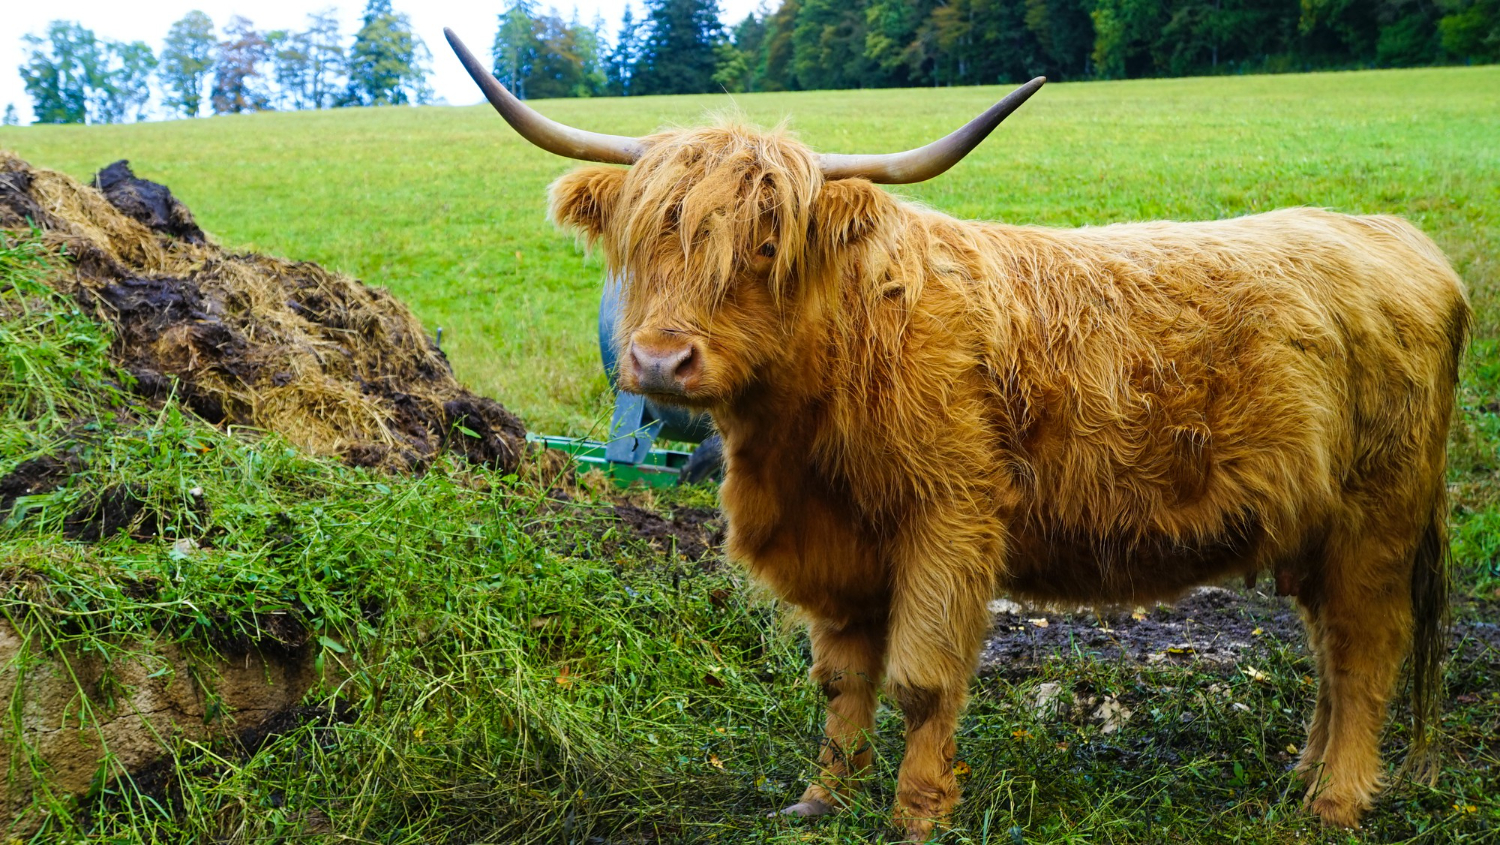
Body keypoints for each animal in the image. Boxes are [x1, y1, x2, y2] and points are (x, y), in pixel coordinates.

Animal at [445, 30, 1469, 840]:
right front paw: (822, 797)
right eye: (644, 241)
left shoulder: (949, 523)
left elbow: (920, 680)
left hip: (1375, 521)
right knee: (1331, 651)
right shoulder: (839, 547)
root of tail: (1406, 244)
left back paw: (1335, 801)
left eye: (766, 248)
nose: (659, 361)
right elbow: (840, 679)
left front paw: (916, 809)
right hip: (1317, 529)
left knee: (1368, 651)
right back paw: (1306, 770)